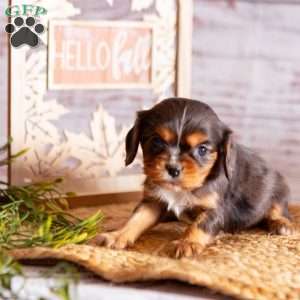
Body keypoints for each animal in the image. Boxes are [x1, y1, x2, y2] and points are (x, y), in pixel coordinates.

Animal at [95, 98, 292, 258]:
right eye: (157, 141)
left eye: (202, 150)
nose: (173, 168)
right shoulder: (153, 201)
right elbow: (136, 219)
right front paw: (117, 235)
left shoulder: (214, 209)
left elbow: (199, 225)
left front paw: (187, 243)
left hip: (278, 189)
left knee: (278, 209)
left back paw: (281, 224)